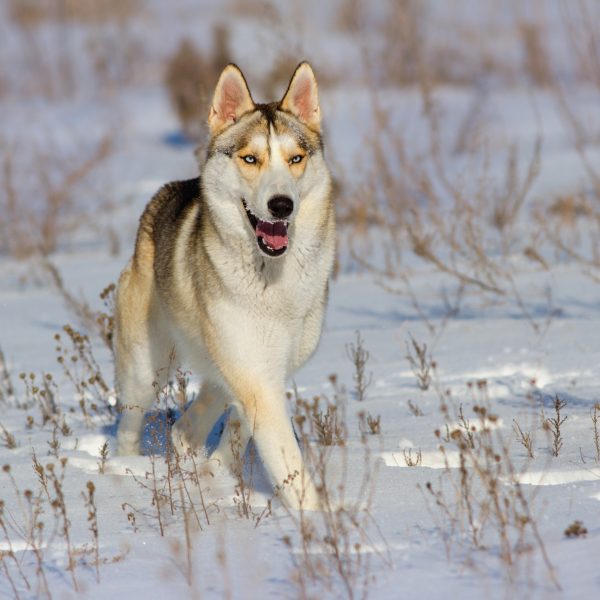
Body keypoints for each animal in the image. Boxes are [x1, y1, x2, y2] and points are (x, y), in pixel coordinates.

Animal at [115, 63, 336, 508]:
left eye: (296, 158)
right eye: (250, 158)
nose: (281, 205)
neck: (272, 281)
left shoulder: (264, 373)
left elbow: (243, 434)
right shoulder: (256, 379)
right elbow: (290, 465)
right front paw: (320, 520)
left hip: (219, 364)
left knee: (187, 427)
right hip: (147, 367)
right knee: (130, 422)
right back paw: (128, 469)